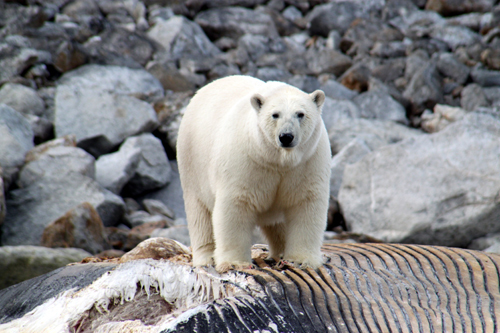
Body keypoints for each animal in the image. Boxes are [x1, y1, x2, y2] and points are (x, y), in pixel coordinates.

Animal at [177, 74, 332, 270]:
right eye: (275, 114)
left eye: (300, 114)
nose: (286, 136)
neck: (278, 159)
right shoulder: (245, 162)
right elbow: (236, 205)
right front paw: (235, 263)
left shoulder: (308, 162)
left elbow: (306, 203)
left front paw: (300, 259)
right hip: (193, 164)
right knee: (199, 213)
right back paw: (206, 258)